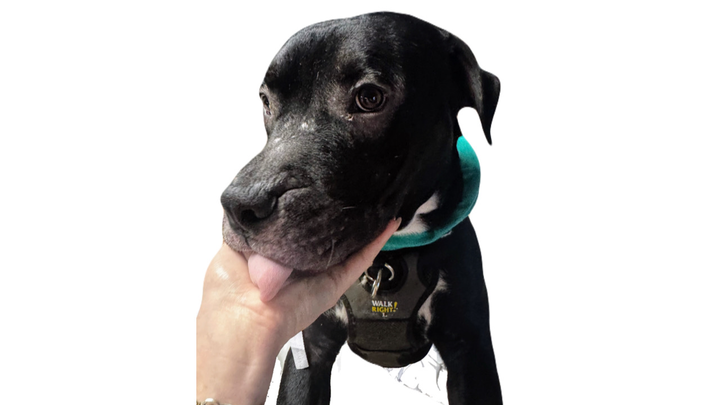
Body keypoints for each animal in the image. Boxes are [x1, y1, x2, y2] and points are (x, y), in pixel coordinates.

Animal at [221, 12, 502, 404]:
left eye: (370, 97)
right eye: (266, 101)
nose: (240, 205)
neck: (390, 257)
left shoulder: (470, 354)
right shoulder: (311, 351)